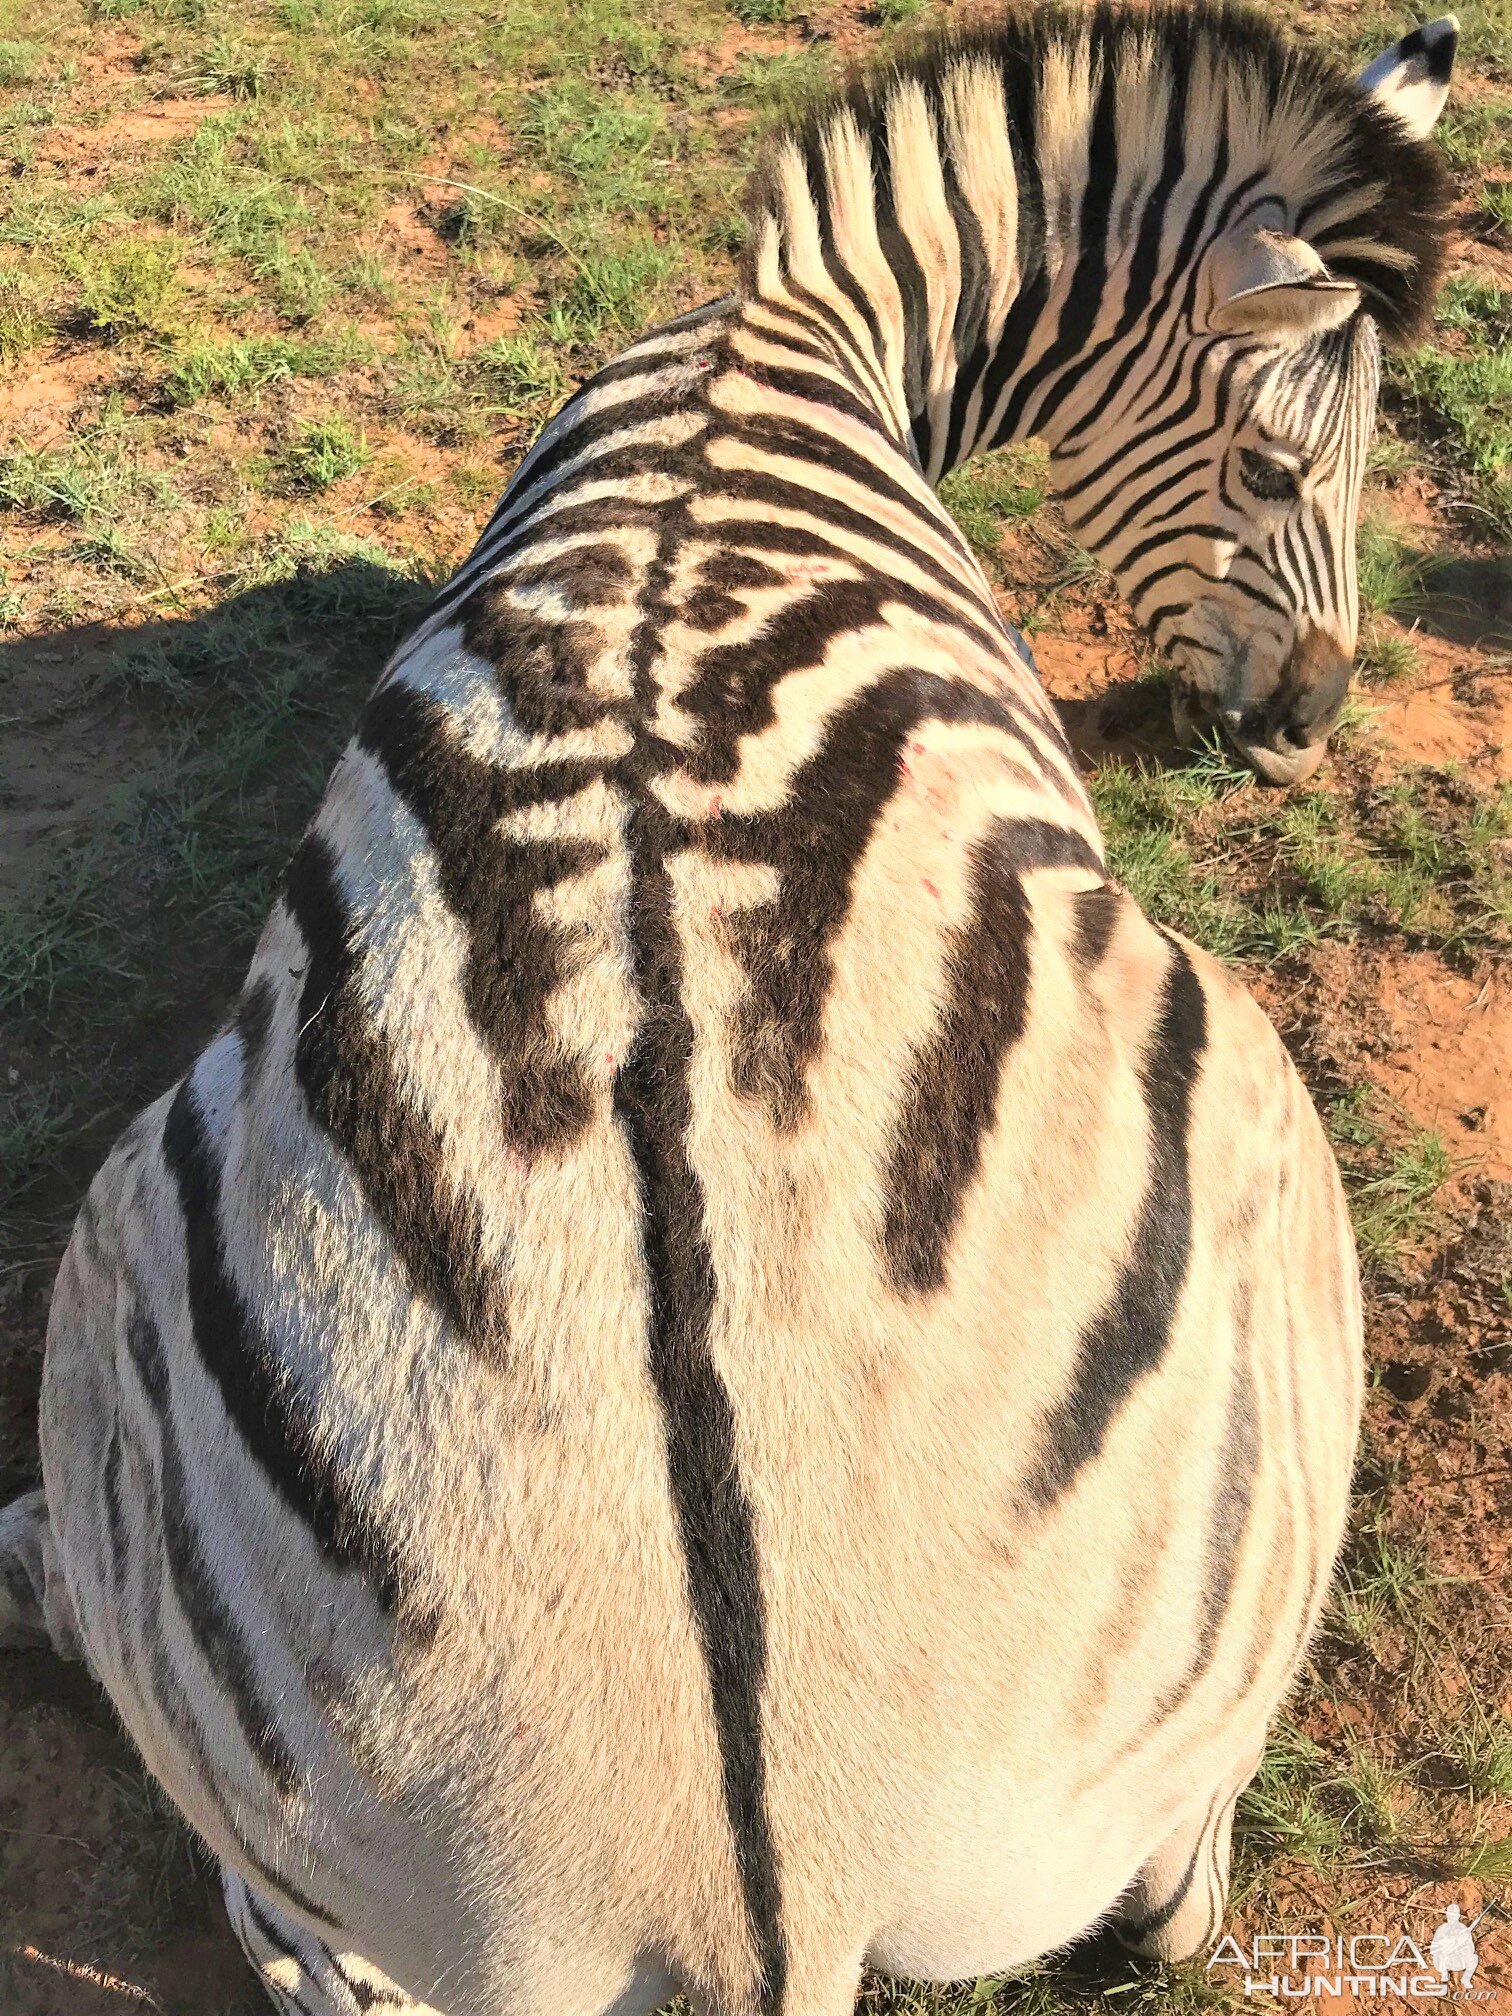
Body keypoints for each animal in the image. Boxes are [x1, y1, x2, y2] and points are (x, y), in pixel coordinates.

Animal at [5, 11, 1459, 2016]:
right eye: (1262, 466)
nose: (1313, 718)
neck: (795, 322)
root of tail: (757, 1890)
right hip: (1258, 1111)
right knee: (1178, 1893)